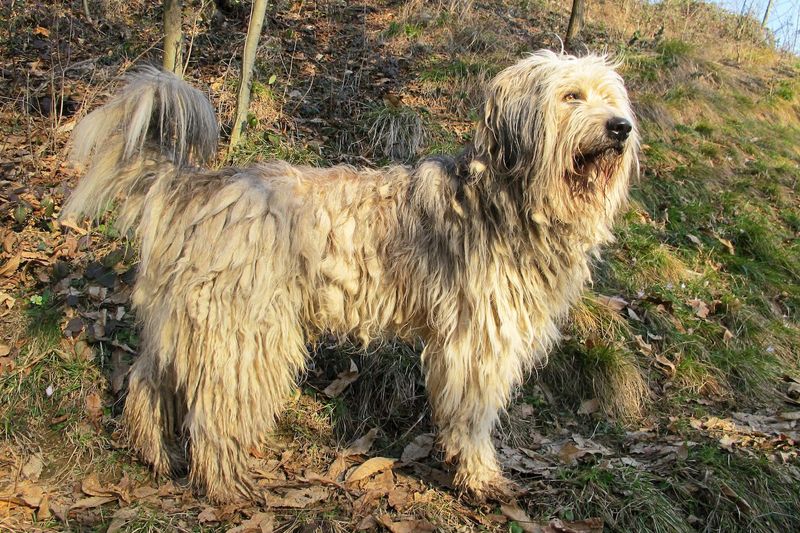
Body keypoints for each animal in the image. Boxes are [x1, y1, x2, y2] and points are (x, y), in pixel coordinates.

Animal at [61, 51, 636, 502]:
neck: (507, 199)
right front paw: (480, 477)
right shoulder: (476, 343)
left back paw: (155, 454)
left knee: (148, 381)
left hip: (187, 317)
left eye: (611, 98)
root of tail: (198, 186)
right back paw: (225, 482)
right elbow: (472, 418)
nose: (621, 128)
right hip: (245, 331)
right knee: (216, 408)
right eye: (571, 96)